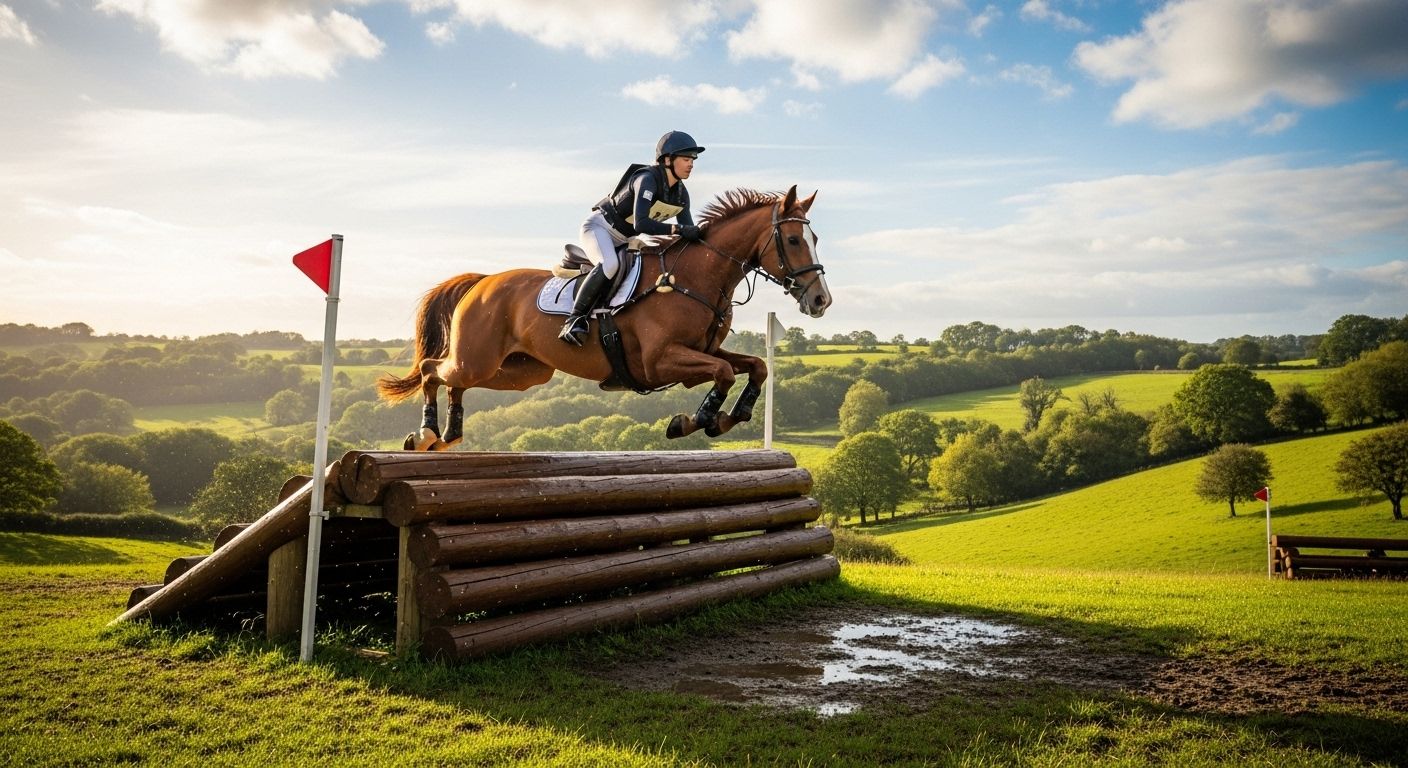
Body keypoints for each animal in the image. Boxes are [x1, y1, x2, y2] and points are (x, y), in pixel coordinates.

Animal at [376, 185, 831, 450]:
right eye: (794, 240)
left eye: (814, 237)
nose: (821, 300)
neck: (694, 277)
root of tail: (482, 282)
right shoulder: (660, 361)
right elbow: (722, 373)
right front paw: (694, 421)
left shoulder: (702, 351)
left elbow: (754, 367)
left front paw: (729, 417)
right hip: (480, 357)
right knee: (432, 368)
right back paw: (426, 433)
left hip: (521, 371)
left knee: (454, 380)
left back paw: (448, 435)